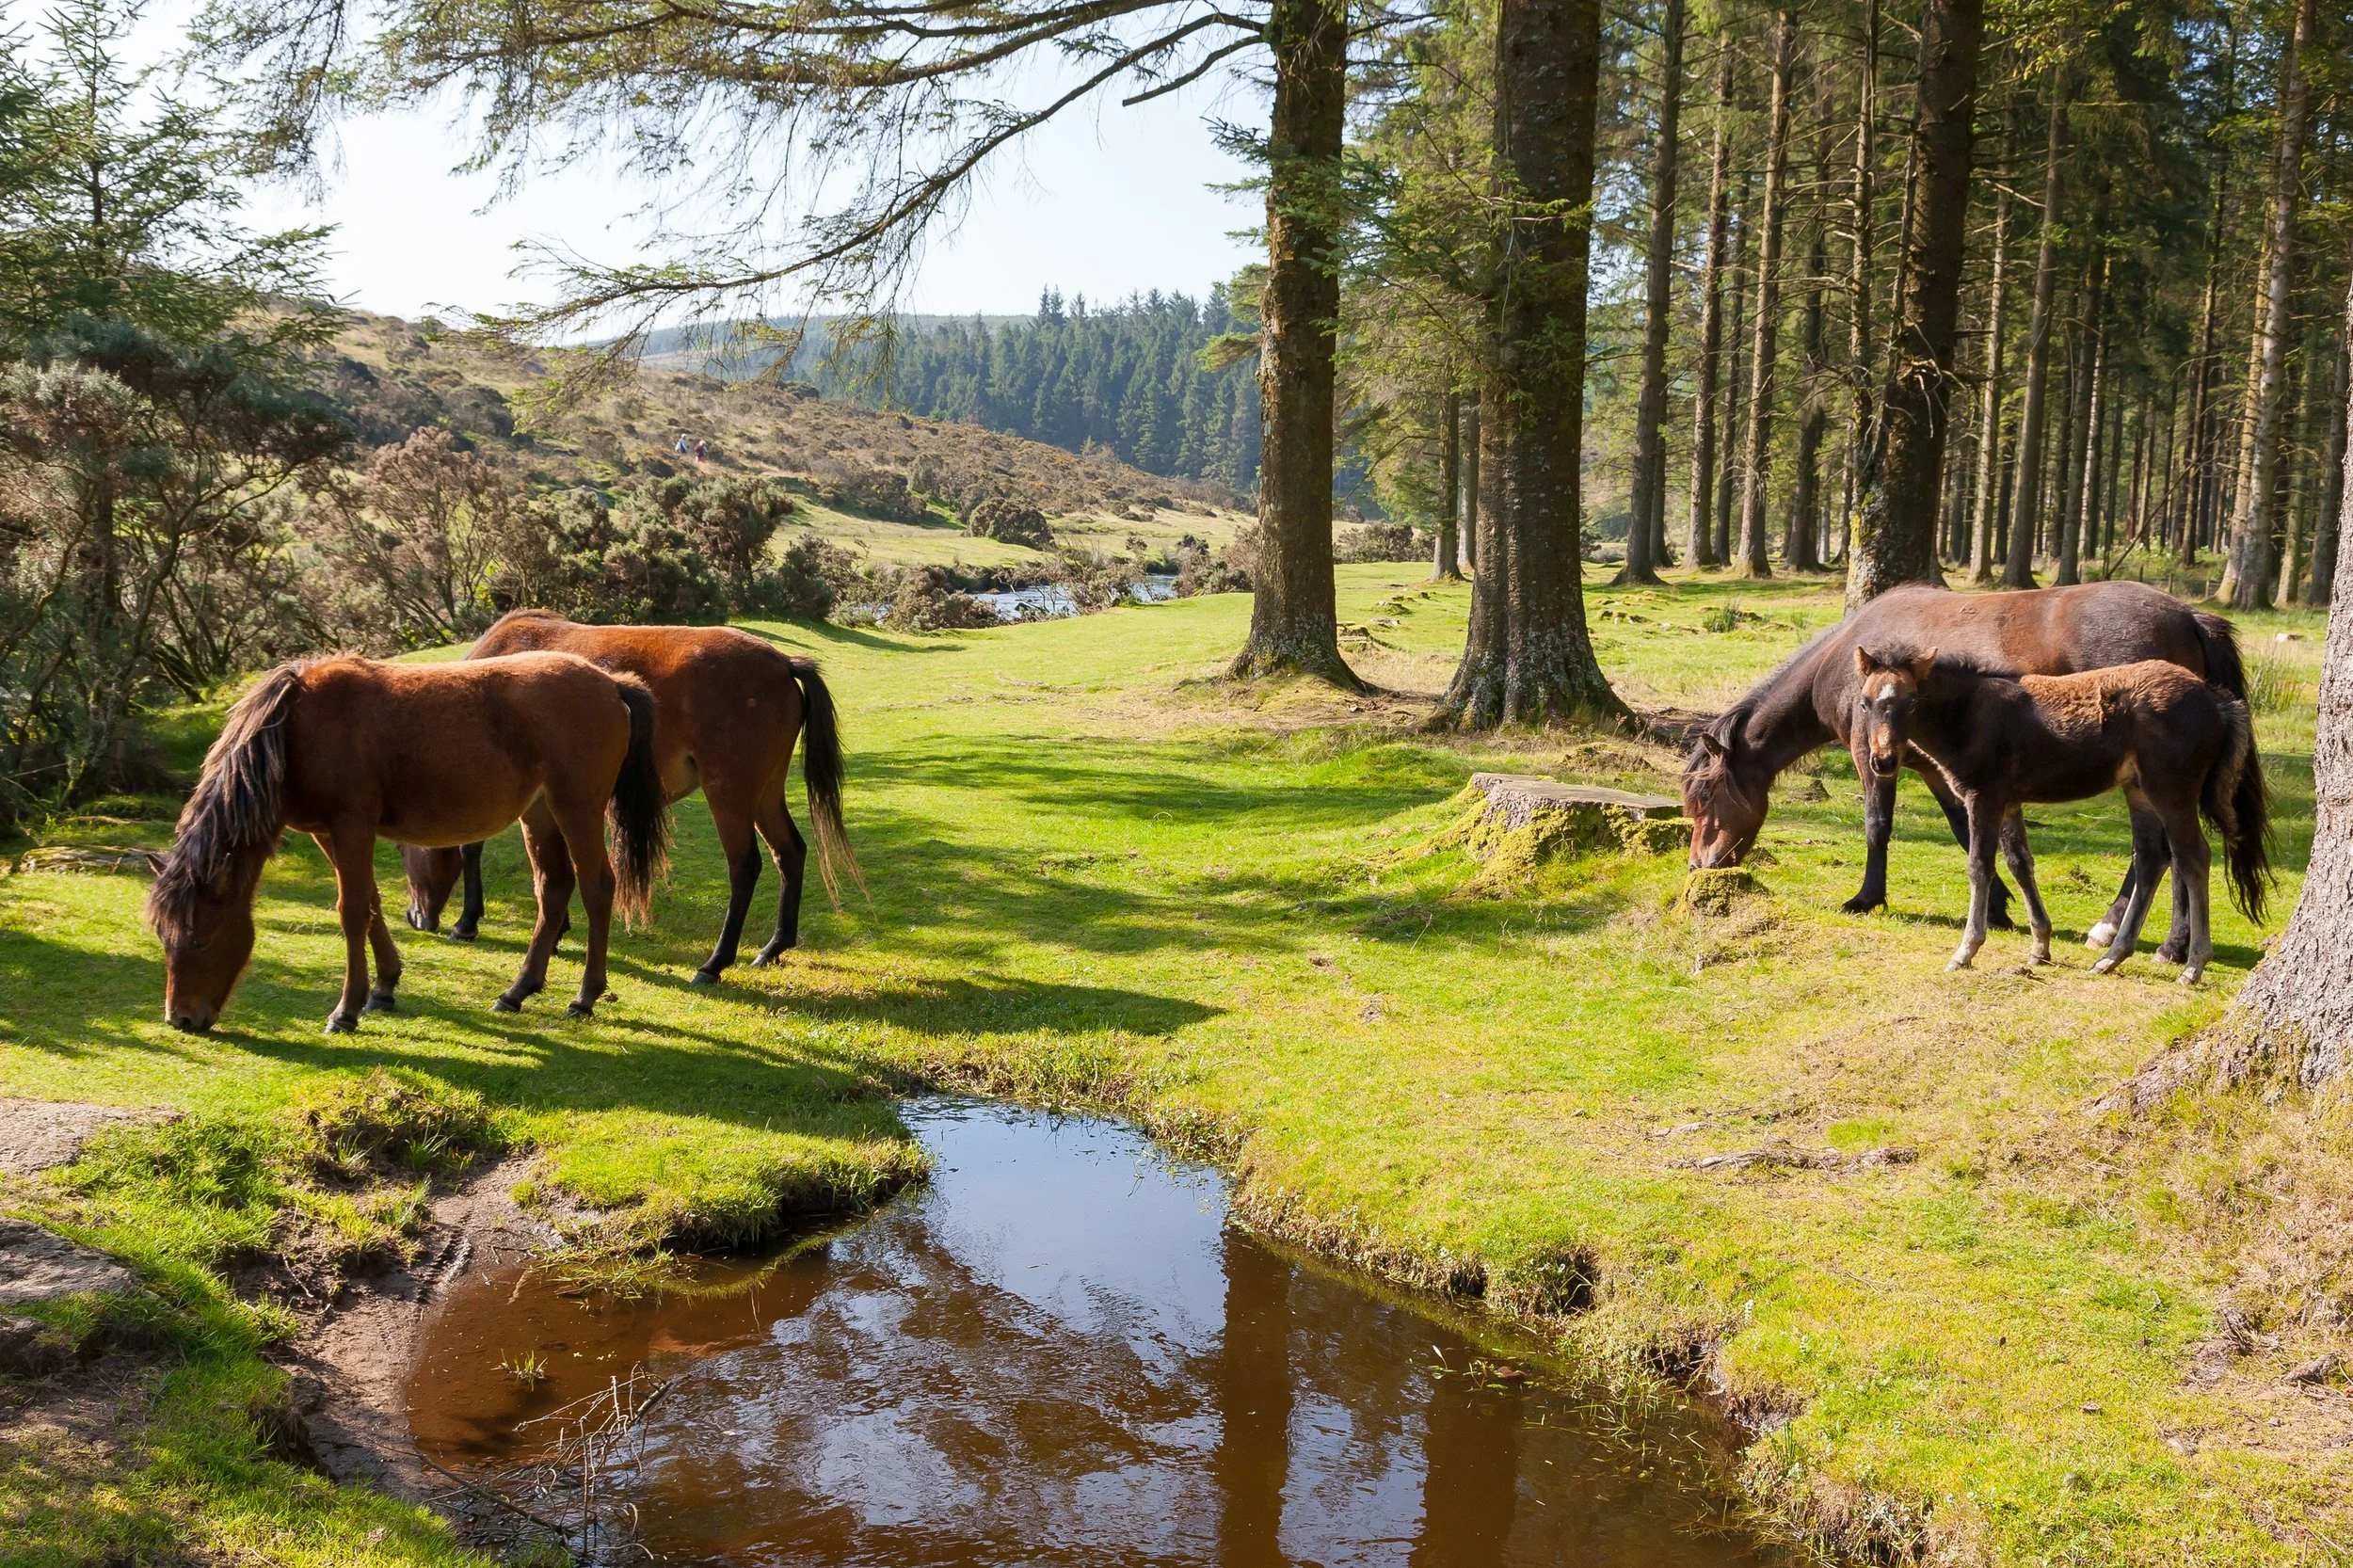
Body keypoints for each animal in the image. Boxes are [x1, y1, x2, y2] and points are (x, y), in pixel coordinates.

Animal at [147, 653, 670, 1034]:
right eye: (164, 939)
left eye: (200, 939)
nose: (181, 1020)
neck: (294, 732)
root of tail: (608, 683)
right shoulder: (327, 833)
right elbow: (371, 904)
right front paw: (384, 987)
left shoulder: (352, 827)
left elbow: (352, 912)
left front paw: (346, 1010)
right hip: (538, 814)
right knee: (554, 890)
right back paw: (517, 992)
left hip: (576, 809)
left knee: (597, 888)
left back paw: (584, 997)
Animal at [399, 610, 860, 986]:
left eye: (404, 850)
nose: (414, 917)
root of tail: (782, 663)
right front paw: (557, 930)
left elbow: (473, 850)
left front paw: (467, 922)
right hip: (764, 793)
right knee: (790, 852)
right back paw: (773, 947)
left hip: (729, 794)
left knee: (745, 867)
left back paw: (714, 964)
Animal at [1679, 580, 2245, 952]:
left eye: (1704, 799)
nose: (1697, 866)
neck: (1845, 668)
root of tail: (2190, 616)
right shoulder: (1937, 770)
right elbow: (1964, 831)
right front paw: (1998, 907)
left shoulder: (1872, 760)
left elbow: (1877, 827)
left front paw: (1867, 898)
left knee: (2173, 852)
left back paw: (2159, 941)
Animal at [1852, 647, 2271, 984]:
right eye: (1865, 703)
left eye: (1911, 702)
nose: (1883, 761)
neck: (1968, 715)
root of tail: (2216, 700)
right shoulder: (2010, 802)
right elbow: (2020, 864)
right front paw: (2040, 946)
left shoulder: (1984, 797)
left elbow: (1979, 867)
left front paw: (1966, 951)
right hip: (2138, 791)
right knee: (2153, 857)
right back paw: (2112, 957)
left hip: (2171, 790)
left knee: (2193, 857)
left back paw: (2193, 964)